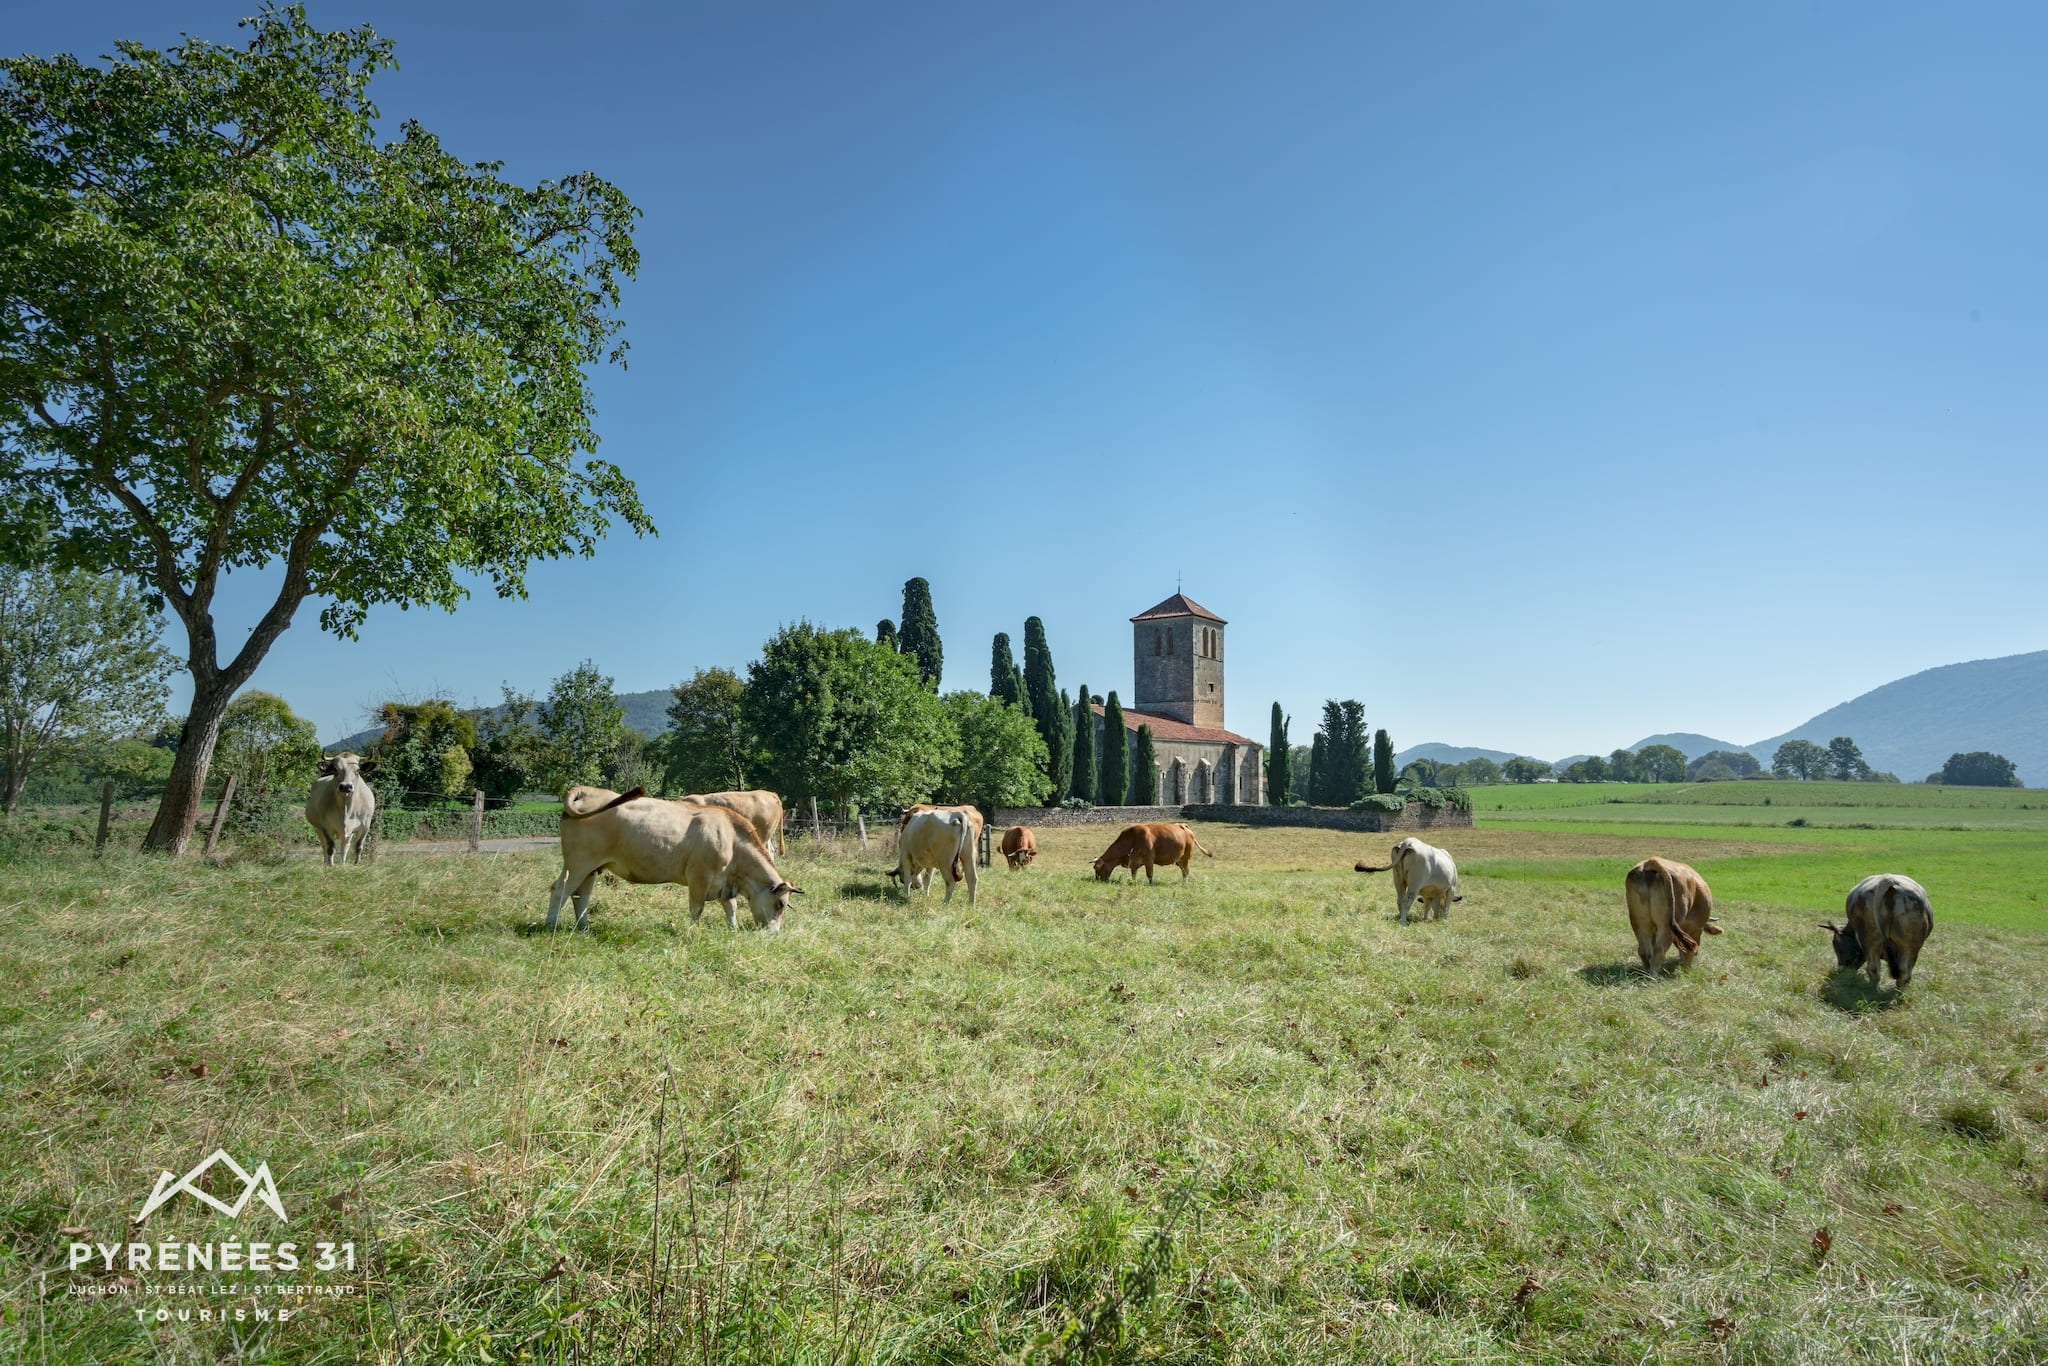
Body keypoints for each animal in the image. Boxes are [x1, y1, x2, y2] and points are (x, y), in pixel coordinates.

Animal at [548, 786, 802, 933]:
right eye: (780, 904)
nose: (774, 933)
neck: (732, 839)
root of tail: (586, 791)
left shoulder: (723, 882)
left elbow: (731, 906)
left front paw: (734, 928)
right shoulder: (699, 876)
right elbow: (697, 908)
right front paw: (693, 931)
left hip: (592, 867)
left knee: (581, 895)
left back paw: (584, 927)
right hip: (578, 863)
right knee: (561, 890)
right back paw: (550, 925)